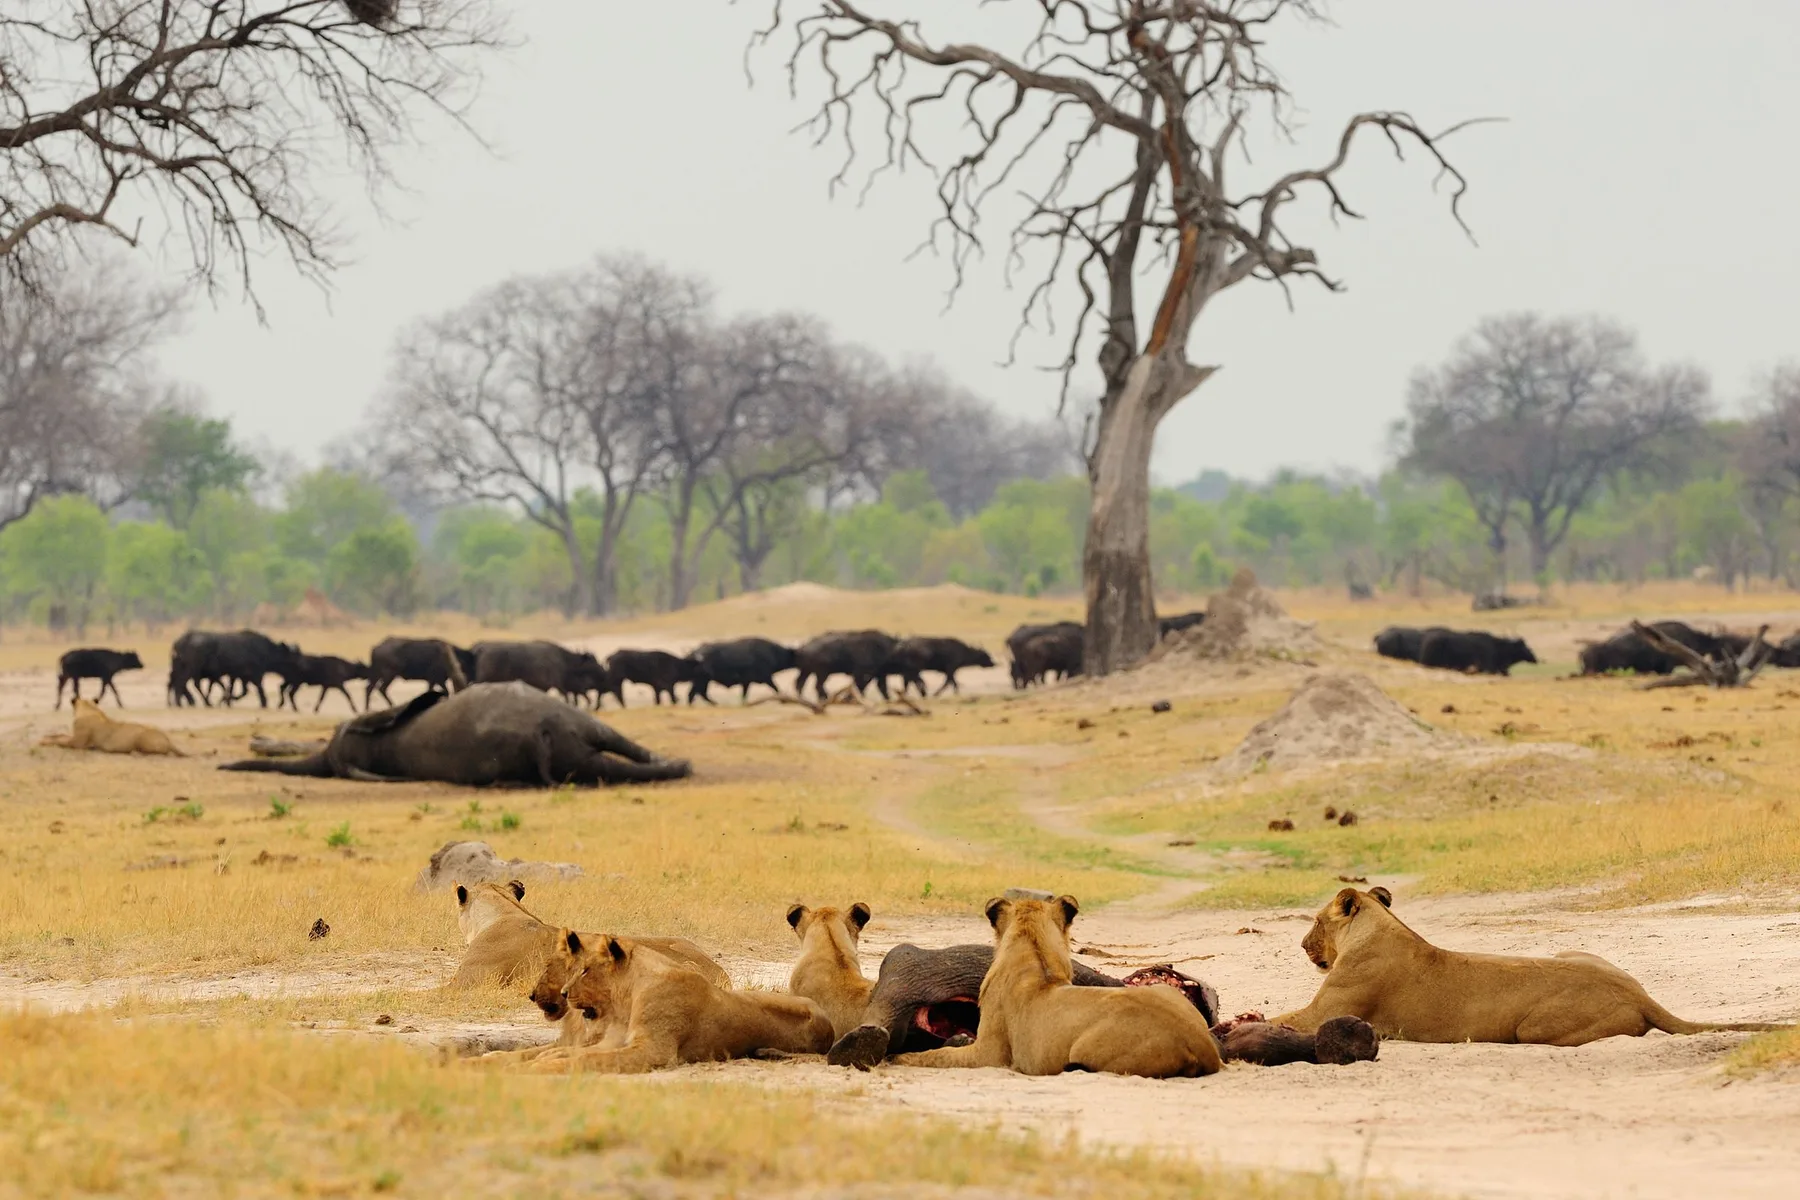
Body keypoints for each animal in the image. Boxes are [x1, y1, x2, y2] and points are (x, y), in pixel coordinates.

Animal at [40, 698, 182, 756]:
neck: (89, 708)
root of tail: (169, 740)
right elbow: (60, 735)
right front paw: (46, 737)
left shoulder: (77, 743)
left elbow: (60, 740)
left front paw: (44, 741)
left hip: (141, 737)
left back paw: (135, 752)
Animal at [517, 930, 834, 1074]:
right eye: (576, 968)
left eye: (586, 970)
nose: (565, 993)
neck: (628, 997)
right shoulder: (614, 1040)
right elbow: (571, 1051)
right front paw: (541, 1060)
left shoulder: (654, 1051)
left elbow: (589, 1058)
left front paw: (542, 1067)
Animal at [893, 895, 1222, 1077]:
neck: (1034, 951)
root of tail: (1202, 1046)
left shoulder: (990, 1054)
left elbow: (937, 1056)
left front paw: (899, 1059)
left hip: (1091, 1047)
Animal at [1270, 886, 1793, 1046]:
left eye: (1314, 921)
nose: (1301, 944)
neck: (1380, 928)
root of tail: (1640, 994)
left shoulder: (1323, 1014)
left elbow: (1278, 1016)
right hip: (1571, 951)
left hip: (1534, 1029)